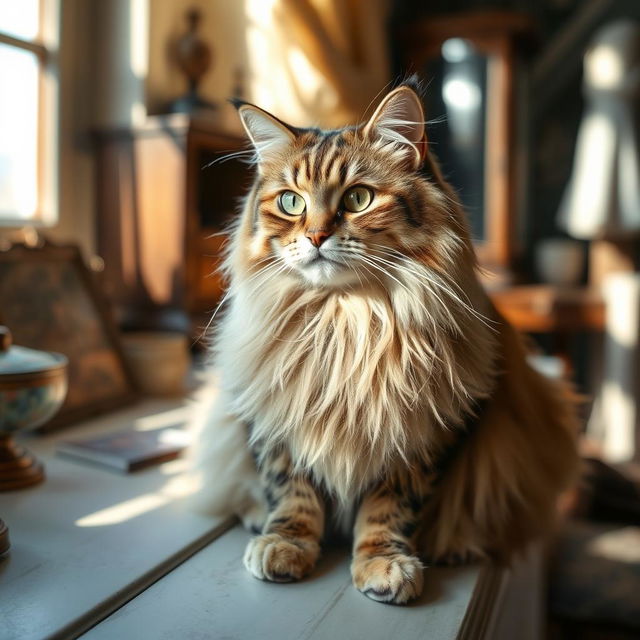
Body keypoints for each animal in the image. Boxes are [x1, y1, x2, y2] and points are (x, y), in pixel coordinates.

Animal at [191, 81, 580, 604]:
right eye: (291, 203)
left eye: (358, 198)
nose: (315, 236)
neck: (345, 321)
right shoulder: (271, 414)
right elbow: (290, 491)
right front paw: (286, 544)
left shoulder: (420, 433)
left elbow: (389, 508)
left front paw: (383, 563)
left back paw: (453, 545)